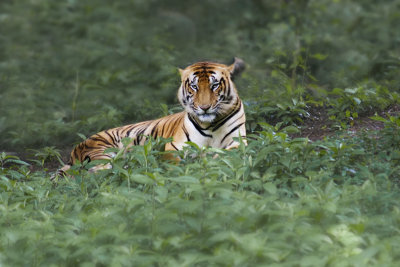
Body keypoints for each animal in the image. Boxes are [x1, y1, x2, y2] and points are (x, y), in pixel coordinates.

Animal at [54, 57, 247, 177]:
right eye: (194, 86)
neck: (211, 125)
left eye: (214, 85)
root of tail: (75, 149)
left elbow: (227, 153)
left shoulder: (239, 142)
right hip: (102, 152)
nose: (204, 108)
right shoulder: (174, 148)